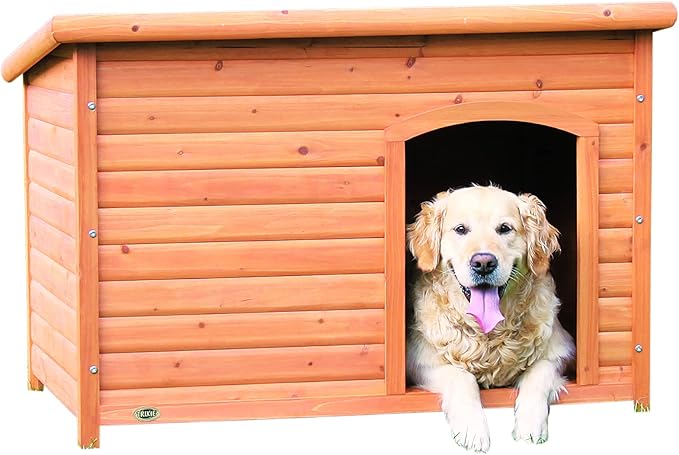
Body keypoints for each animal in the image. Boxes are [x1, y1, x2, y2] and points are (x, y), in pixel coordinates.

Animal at [410, 185, 572, 452]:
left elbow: (539, 373)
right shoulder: (420, 360)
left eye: (504, 228)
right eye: (461, 229)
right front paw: (472, 429)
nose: (483, 262)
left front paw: (530, 424)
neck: (488, 335)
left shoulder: (563, 351)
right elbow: (461, 376)